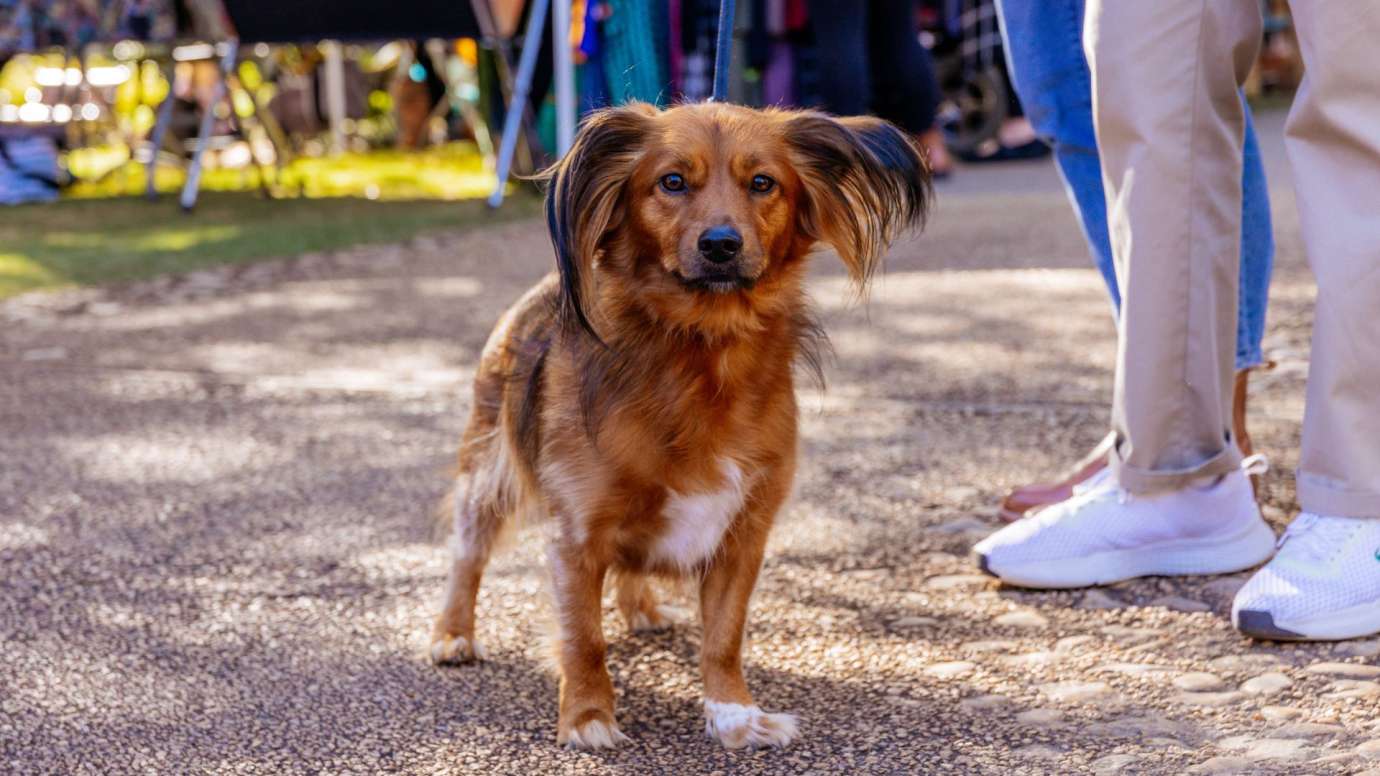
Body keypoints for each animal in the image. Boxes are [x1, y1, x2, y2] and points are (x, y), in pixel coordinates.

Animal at [430, 99, 927, 745]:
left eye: (762, 183)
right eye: (671, 182)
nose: (721, 244)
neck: (703, 348)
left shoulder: (744, 532)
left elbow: (724, 637)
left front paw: (734, 712)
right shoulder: (577, 533)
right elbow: (583, 636)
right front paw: (587, 717)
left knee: (631, 569)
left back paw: (641, 609)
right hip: (488, 467)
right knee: (469, 552)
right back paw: (453, 633)